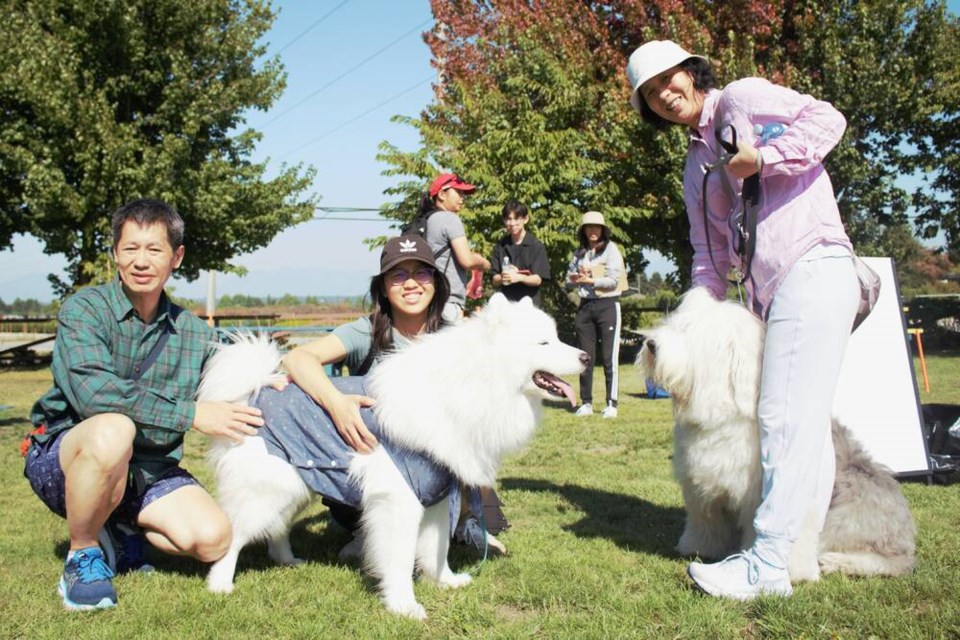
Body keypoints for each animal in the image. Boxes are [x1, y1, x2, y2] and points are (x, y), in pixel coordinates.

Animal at [195, 292, 584, 616]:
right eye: (544, 342)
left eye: (556, 337)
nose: (585, 356)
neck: (469, 387)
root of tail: (252, 393)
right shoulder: (399, 499)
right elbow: (398, 559)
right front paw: (404, 607)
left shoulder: (436, 494)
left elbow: (437, 548)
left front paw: (446, 581)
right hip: (268, 489)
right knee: (235, 536)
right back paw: (220, 584)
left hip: (297, 484)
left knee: (277, 529)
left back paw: (288, 561)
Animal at [636, 288, 916, 584]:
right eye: (675, 323)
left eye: (692, 332)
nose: (651, 344)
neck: (723, 412)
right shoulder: (701, 487)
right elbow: (705, 522)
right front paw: (697, 547)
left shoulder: (754, 494)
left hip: (849, 518)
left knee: (886, 561)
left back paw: (835, 561)